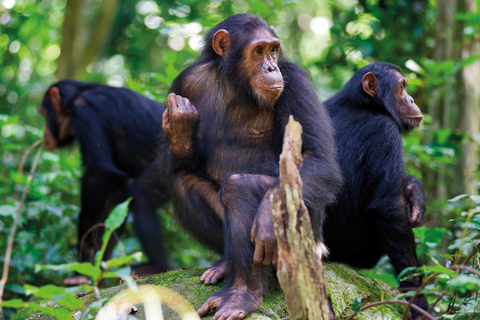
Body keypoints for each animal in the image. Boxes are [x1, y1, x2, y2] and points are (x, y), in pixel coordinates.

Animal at [39, 81, 171, 286]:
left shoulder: (84, 111)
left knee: (141, 195)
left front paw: (83, 261)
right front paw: (96, 269)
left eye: (44, 113)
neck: (76, 96)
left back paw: (156, 266)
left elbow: (99, 173)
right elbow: (116, 197)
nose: (44, 132)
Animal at [162, 13, 342, 320]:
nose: (271, 67)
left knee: (239, 187)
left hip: (311, 241)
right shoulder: (184, 84)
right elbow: (181, 163)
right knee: (184, 181)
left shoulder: (295, 82)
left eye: (274, 50)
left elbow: (316, 157)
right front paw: (181, 127)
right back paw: (227, 268)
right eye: (258, 51)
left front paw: (268, 216)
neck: (235, 84)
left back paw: (242, 296)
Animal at [322, 62, 432, 318]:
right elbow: (390, 208)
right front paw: (419, 302)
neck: (363, 104)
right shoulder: (385, 133)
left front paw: (414, 193)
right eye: (401, 87)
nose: (411, 99)